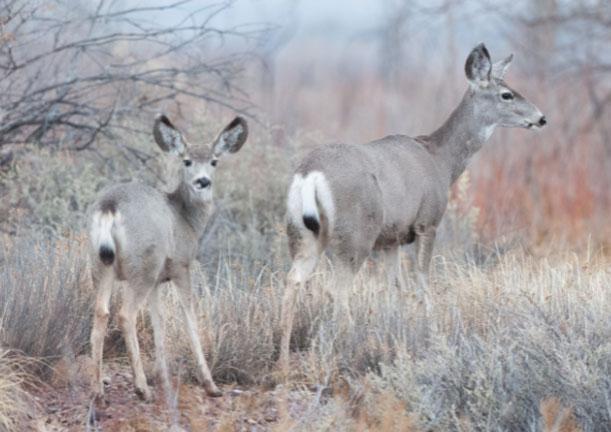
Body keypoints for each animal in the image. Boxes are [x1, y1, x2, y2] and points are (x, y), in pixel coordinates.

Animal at [86, 113, 249, 400]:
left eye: (214, 161)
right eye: (187, 161)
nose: (203, 181)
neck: (185, 218)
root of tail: (109, 207)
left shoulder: (157, 282)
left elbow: (158, 320)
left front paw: (161, 375)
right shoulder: (181, 267)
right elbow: (189, 316)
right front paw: (210, 384)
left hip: (102, 264)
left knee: (101, 312)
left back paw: (98, 389)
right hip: (143, 266)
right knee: (125, 315)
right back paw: (141, 388)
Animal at [280, 42, 548, 370]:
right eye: (506, 94)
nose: (541, 118)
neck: (441, 161)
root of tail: (310, 175)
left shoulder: (391, 239)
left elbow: (397, 287)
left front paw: (396, 332)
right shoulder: (426, 223)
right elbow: (422, 280)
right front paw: (430, 332)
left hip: (303, 233)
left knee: (293, 281)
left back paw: (283, 359)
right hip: (355, 234)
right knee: (336, 290)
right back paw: (348, 348)